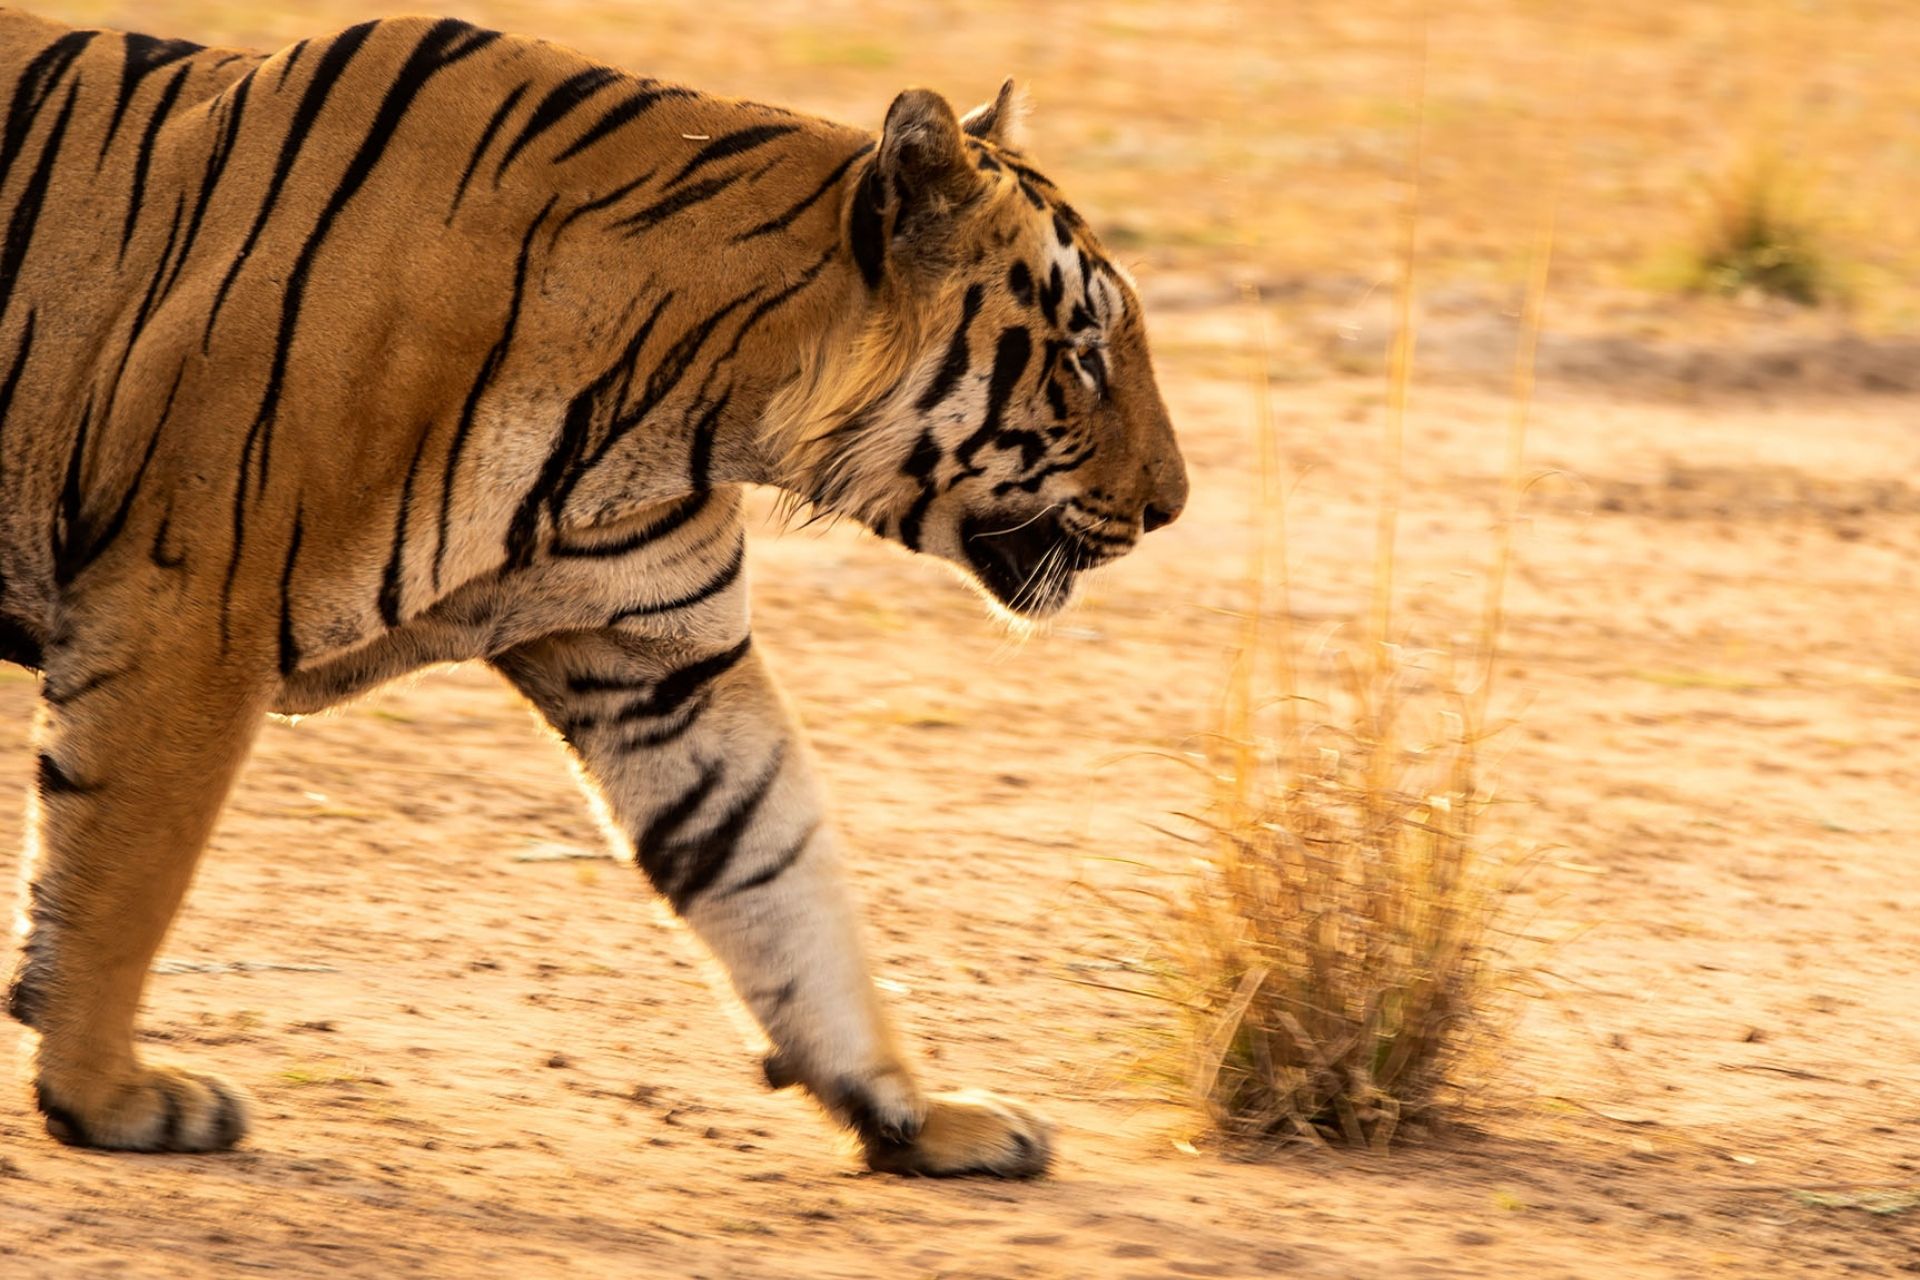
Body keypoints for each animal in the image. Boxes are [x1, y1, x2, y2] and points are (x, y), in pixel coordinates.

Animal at [0, 10, 1182, 1174]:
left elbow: (779, 868)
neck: (684, 408)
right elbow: (125, 872)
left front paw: (915, 1114)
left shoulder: (663, 665)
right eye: (1083, 355)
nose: (1173, 503)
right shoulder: (191, 611)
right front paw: (108, 1093)